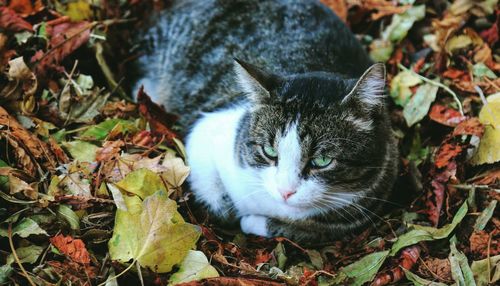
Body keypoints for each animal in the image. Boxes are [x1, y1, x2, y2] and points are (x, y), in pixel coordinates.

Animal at [132, 0, 398, 242]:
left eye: (322, 160)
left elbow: (307, 230)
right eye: (269, 151)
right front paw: (228, 210)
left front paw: (257, 222)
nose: (285, 191)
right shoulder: (209, 126)